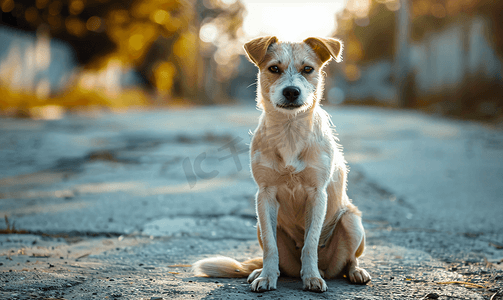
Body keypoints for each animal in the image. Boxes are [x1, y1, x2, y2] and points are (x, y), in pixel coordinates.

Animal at [195, 36, 372, 292]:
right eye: (274, 69)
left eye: (307, 69)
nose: (291, 91)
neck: (289, 130)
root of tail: (328, 268)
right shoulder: (265, 195)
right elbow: (271, 247)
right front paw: (266, 277)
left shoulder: (317, 194)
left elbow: (310, 243)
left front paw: (311, 277)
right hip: (260, 226)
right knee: (278, 259)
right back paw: (260, 271)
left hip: (351, 221)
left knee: (349, 260)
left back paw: (352, 271)